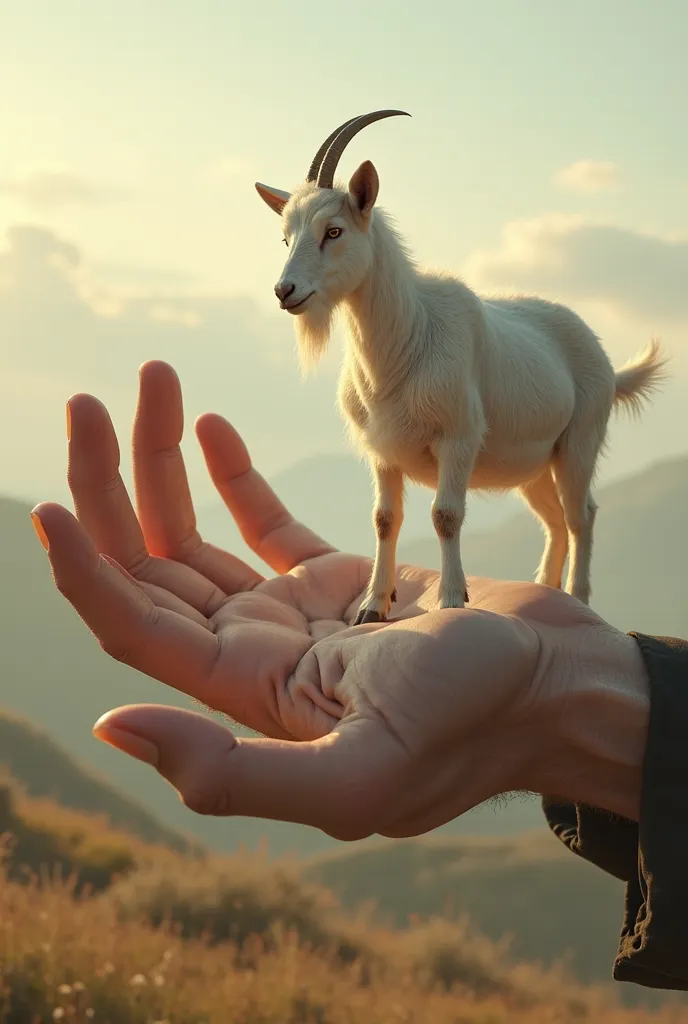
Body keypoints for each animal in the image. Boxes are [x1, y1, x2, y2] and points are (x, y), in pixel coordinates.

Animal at [253, 112, 667, 622]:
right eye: (286, 237)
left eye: (334, 231)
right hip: (533, 462)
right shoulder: (381, 452)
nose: (285, 291)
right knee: (552, 519)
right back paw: (545, 590)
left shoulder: (458, 436)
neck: (409, 338)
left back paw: (577, 598)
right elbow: (384, 518)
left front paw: (451, 600)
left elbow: (445, 516)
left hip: (581, 439)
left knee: (580, 515)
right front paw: (373, 606)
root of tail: (605, 361)